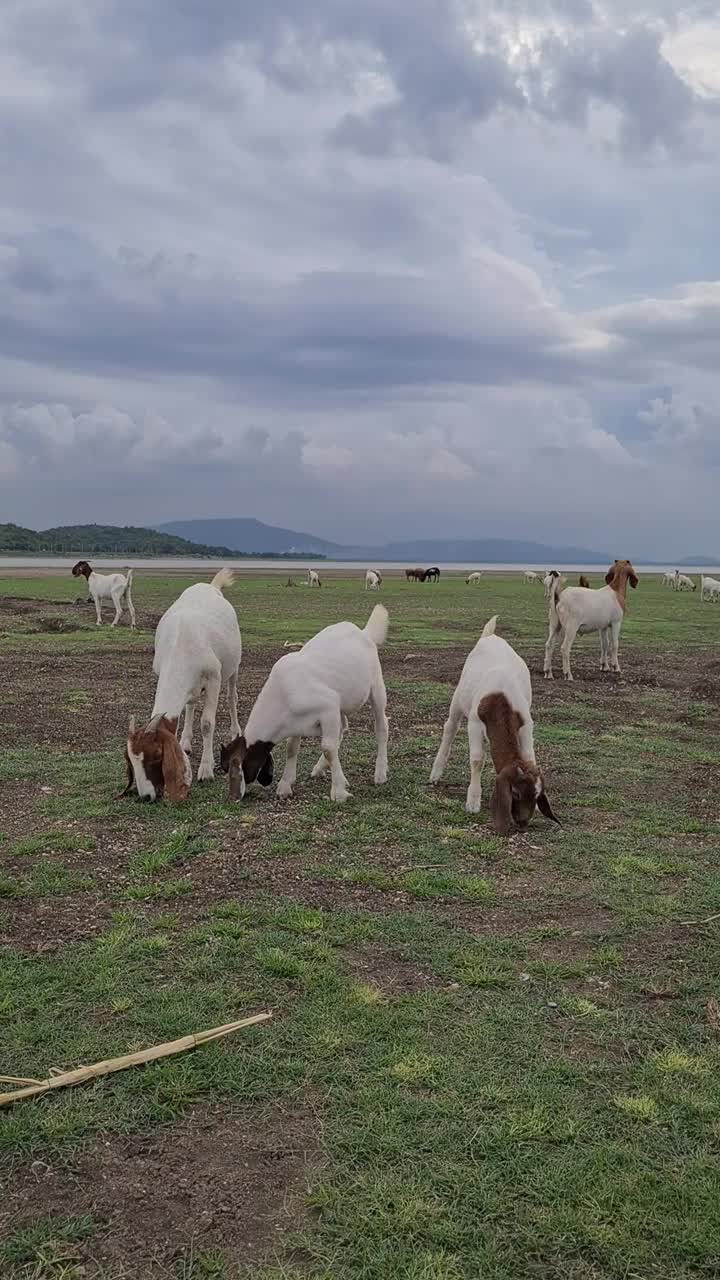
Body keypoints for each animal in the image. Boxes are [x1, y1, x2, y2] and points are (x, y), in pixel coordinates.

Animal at [122, 570, 240, 798]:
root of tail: (211, 586)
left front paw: (206, 769)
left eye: (157, 755)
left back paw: (235, 731)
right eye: (132, 760)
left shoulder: (214, 677)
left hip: (233, 666)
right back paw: (186, 741)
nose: (147, 796)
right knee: (191, 703)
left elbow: (207, 723)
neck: (181, 643)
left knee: (232, 696)